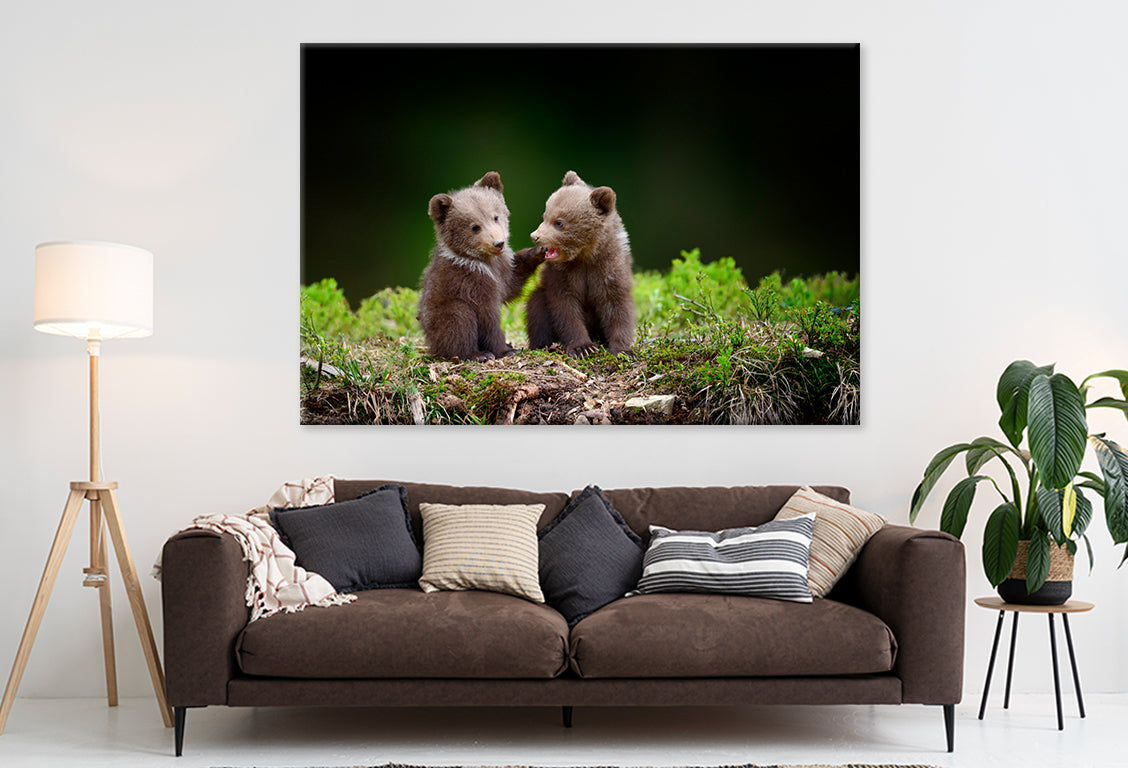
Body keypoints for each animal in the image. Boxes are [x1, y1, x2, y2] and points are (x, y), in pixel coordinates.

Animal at [417, 171, 545, 361]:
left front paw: (538, 251)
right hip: (443, 313)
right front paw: (505, 350)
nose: (498, 243)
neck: (485, 262)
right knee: (459, 320)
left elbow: (512, 284)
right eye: (475, 227)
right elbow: (487, 318)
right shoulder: (472, 282)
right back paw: (477, 354)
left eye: (495, 216)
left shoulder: (502, 270)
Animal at [526, 170, 636, 357]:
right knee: (536, 307)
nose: (535, 236)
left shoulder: (610, 267)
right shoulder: (562, 274)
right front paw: (582, 347)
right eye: (545, 215)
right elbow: (566, 309)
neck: (585, 256)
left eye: (559, 222)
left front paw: (623, 349)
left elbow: (617, 306)